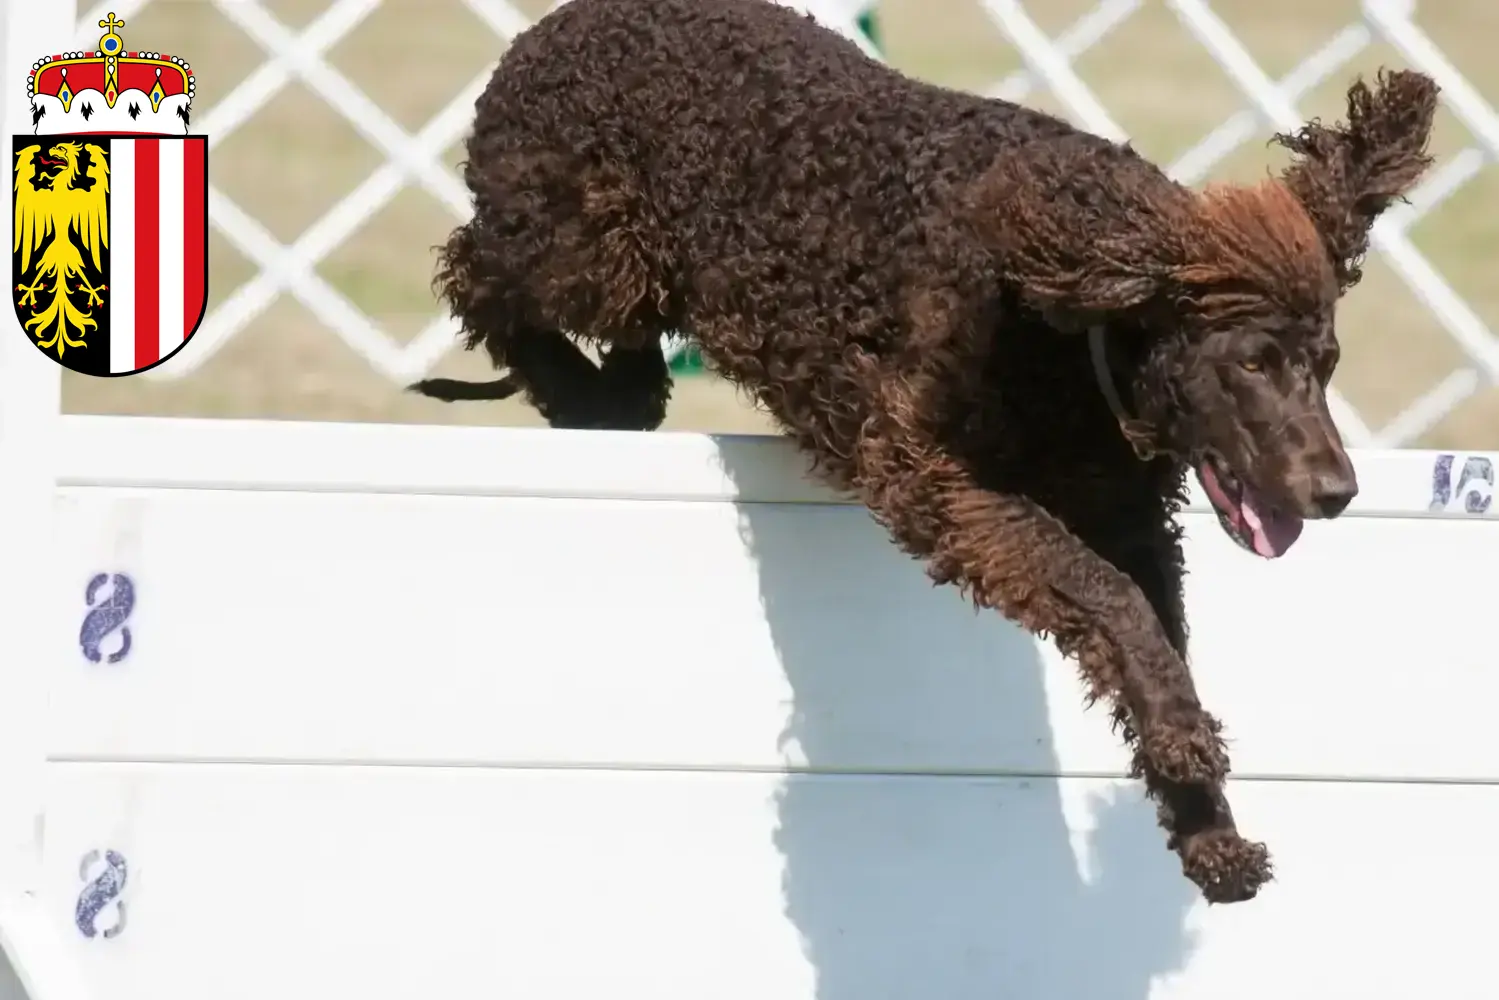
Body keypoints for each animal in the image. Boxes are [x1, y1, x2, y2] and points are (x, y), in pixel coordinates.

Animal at [413, 0, 1439, 905]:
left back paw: (605, 396)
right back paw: (564, 383)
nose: (1337, 491)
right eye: (1250, 364)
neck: (1068, 328)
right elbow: (1108, 600)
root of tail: (563, 21)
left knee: (616, 356)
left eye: (1325, 365)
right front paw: (1190, 750)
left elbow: (1151, 633)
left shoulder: (1131, 521)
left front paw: (1206, 827)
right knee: (479, 272)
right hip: (582, 242)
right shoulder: (939, 478)